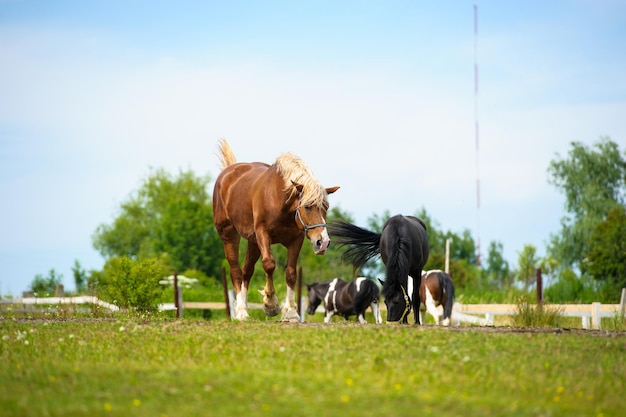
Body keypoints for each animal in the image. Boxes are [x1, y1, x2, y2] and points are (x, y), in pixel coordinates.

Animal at [211, 138, 338, 320]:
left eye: (326, 207)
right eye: (307, 206)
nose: (323, 242)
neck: (278, 199)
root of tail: (228, 172)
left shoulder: (296, 239)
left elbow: (291, 273)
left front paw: (291, 312)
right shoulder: (263, 234)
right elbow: (269, 264)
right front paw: (271, 305)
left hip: (253, 242)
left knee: (246, 271)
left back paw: (244, 307)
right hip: (229, 234)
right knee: (236, 271)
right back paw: (241, 311)